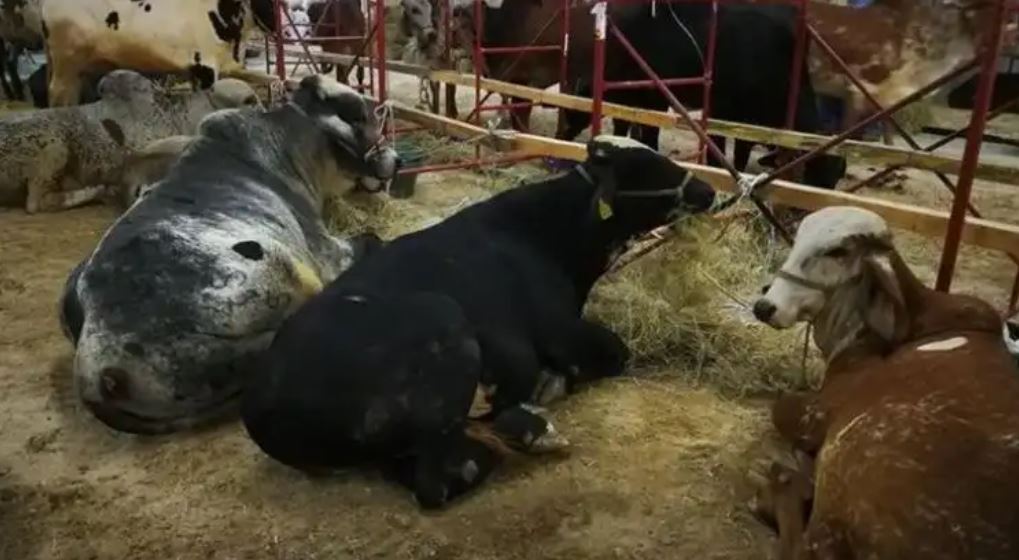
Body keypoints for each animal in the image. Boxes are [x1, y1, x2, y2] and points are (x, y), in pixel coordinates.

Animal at [55, 75, 397, 433]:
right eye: (360, 113)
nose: (395, 160)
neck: (290, 145)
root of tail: (97, 376)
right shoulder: (326, 251)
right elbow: (370, 239)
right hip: (277, 264)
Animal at [240, 135, 717, 509]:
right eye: (648, 167)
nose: (709, 190)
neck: (547, 235)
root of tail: (264, 401)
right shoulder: (562, 332)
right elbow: (614, 353)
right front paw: (551, 386)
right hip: (442, 324)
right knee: (443, 477)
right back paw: (527, 428)